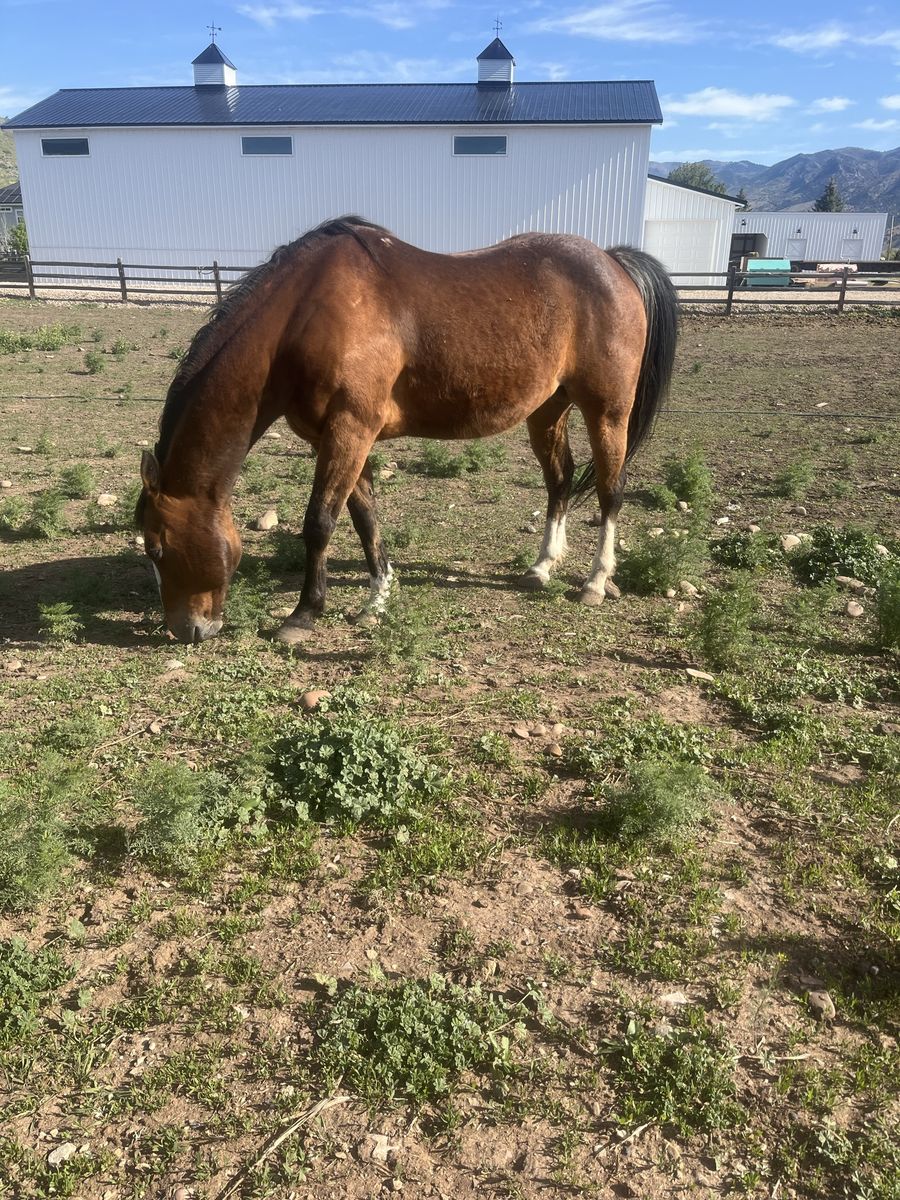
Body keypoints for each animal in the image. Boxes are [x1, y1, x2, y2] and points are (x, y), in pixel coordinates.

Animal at [136, 216, 678, 645]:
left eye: (157, 546)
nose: (187, 630)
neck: (306, 312)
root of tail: (612, 263)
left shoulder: (350, 429)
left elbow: (320, 523)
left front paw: (304, 614)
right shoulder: (340, 436)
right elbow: (364, 518)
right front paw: (377, 598)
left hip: (607, 411)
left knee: (610, 491)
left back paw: (594, 582)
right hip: (548, 410)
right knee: (560, 480)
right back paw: (542, 567)